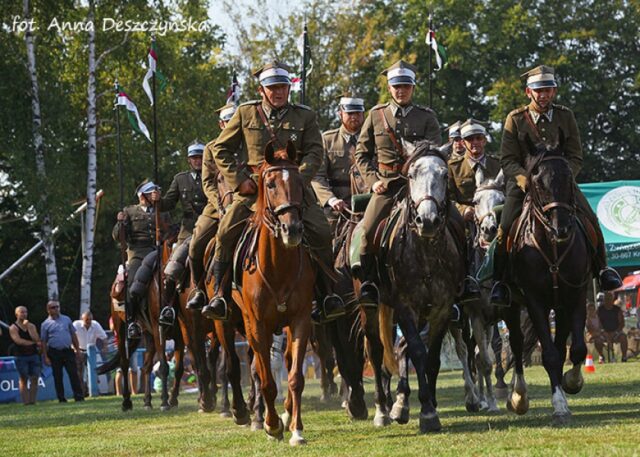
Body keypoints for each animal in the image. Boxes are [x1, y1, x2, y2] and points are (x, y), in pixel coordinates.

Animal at [232, 141, 318, 444]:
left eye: (300, 183)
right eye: (269, 184)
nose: (291, 229)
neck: (278, 266)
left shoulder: (301, 320)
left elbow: (295, 377)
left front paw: (297, 429)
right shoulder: (257, 326)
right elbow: (267, 379)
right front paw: (271, 426)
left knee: (289, 362)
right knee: (257, 368)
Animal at [510, 142, 592, 424]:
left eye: (569, 178)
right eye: (538, 181)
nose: (562, 229)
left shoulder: (576, 295)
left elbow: (576, 349)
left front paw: (572, 382)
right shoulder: (535, 302)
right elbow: (549, 355)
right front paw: (559, 405)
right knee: (516, 343)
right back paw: (519, 397)